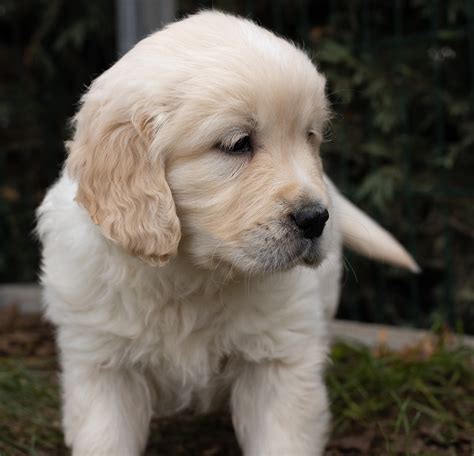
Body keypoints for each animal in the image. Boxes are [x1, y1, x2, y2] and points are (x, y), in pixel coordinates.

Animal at [37, 10, 416, 456]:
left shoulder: (279, 360)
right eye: (238, 144)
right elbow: (106, 438)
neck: (192, 275)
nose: (316, 218)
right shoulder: (103, 365)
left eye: (309, 137)